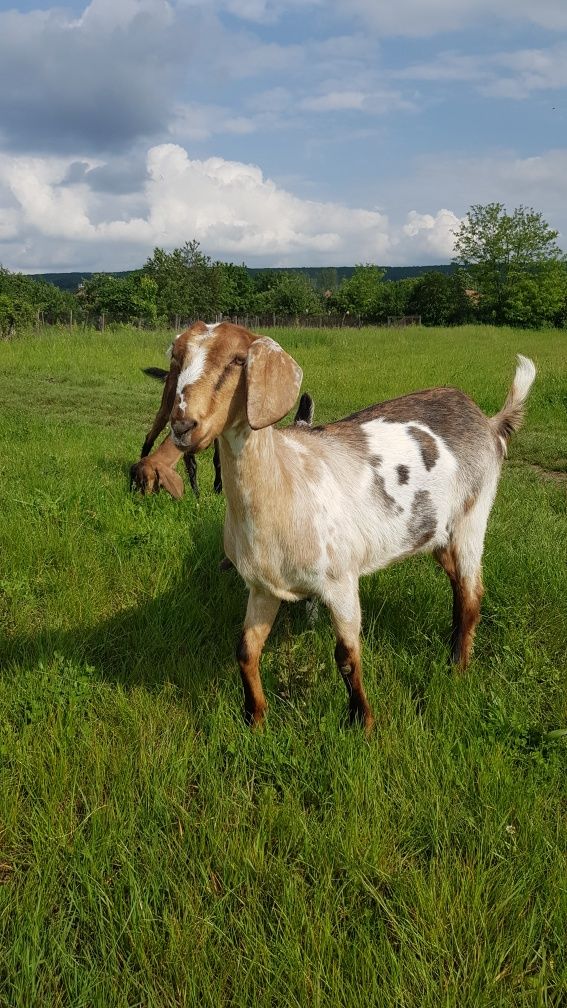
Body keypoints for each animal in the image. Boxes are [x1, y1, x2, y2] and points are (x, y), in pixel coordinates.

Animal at [165, 322, 532, 733]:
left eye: (238, 360)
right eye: (176, 357)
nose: (183, 425)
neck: (286, 480)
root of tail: (487, 421)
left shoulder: (340, 580)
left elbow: (346, 654)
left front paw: (363, 721)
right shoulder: (263, 587)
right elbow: (246, 650)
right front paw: (254, 718)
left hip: (472, 517)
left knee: (472, 594)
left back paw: (458, 669)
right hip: (435, 533)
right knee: (457, 585)